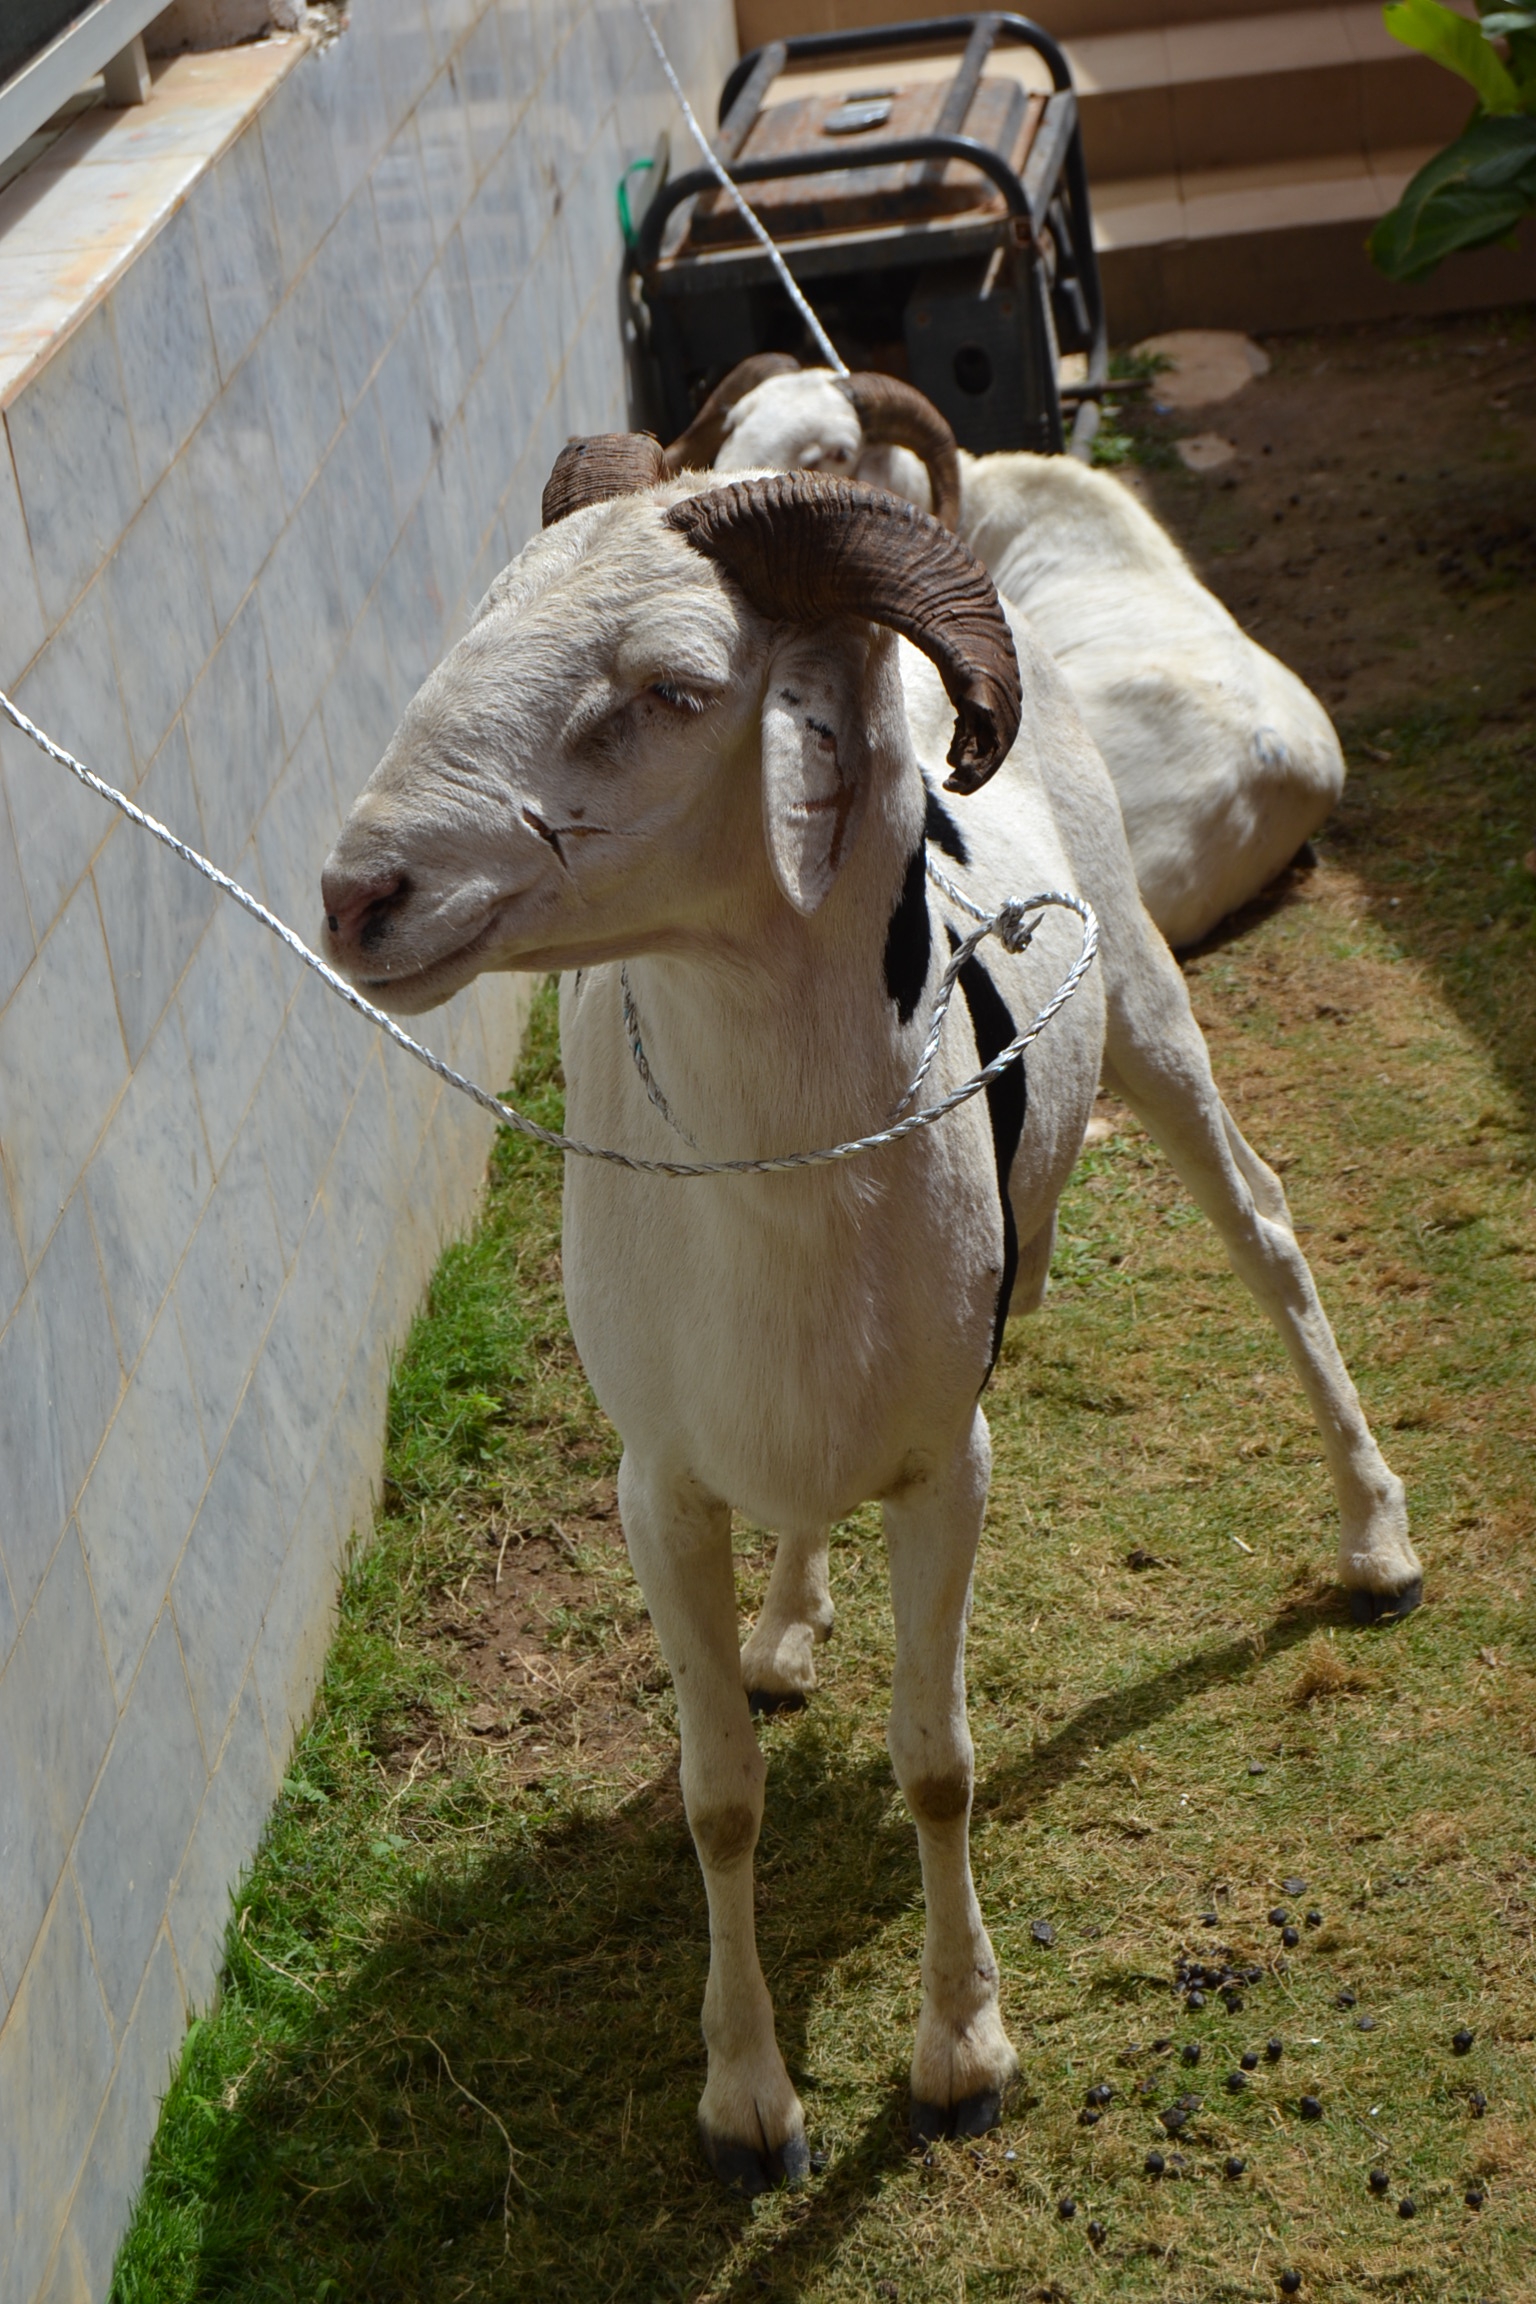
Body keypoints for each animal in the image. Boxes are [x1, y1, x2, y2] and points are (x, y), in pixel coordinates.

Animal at [317, 444, 1427, 2193]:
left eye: (673, 687)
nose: (358, 897)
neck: (782, 1183)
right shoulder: (659, 1486)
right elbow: (717, 1796)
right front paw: (746, 2102)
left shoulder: (943, 1468)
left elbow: (939, 1765)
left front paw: (961, 2053)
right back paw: (784, 1631)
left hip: (1152, 1014)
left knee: (1267, 1240)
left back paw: (1377, 1538)